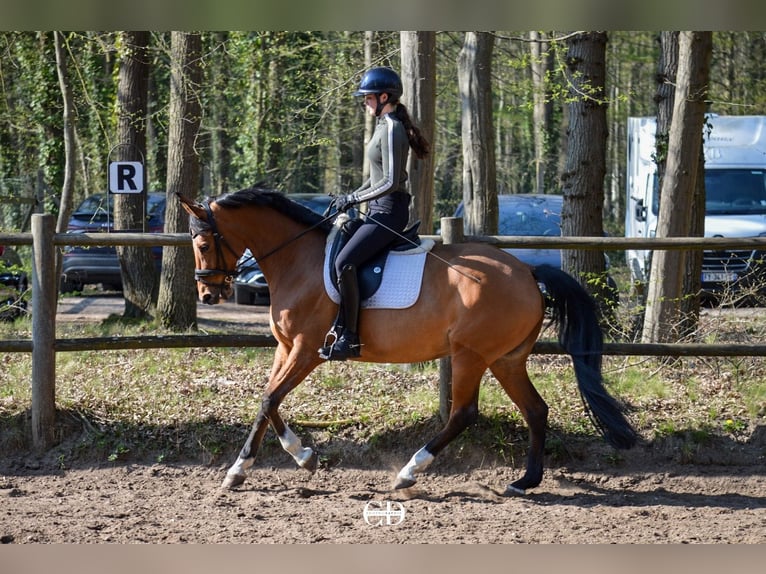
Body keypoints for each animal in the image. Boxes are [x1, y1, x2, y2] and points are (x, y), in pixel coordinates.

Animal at [178, 185, 638, 495]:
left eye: (201, 242)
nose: (207, 294)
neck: (299, 260)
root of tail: (527, 272)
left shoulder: (307, 351)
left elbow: (270, 398)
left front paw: (258, 466)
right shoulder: (285, 348)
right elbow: (267, 402)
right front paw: (288, 460)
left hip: (470, 355)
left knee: (464, 414)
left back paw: (409, 472)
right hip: (506, 359)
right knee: (536, 410)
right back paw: (525, 481)